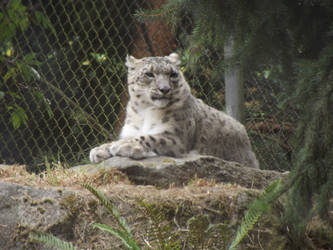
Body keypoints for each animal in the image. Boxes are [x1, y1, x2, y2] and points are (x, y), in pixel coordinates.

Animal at [89, 53, 260, 169]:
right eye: (149, 74)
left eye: (172, 74)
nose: (165, 89)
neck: (144, 112)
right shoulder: (130, 130)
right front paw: (100, 150)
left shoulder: (176, 137)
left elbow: (150, 137)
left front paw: (124, 145)